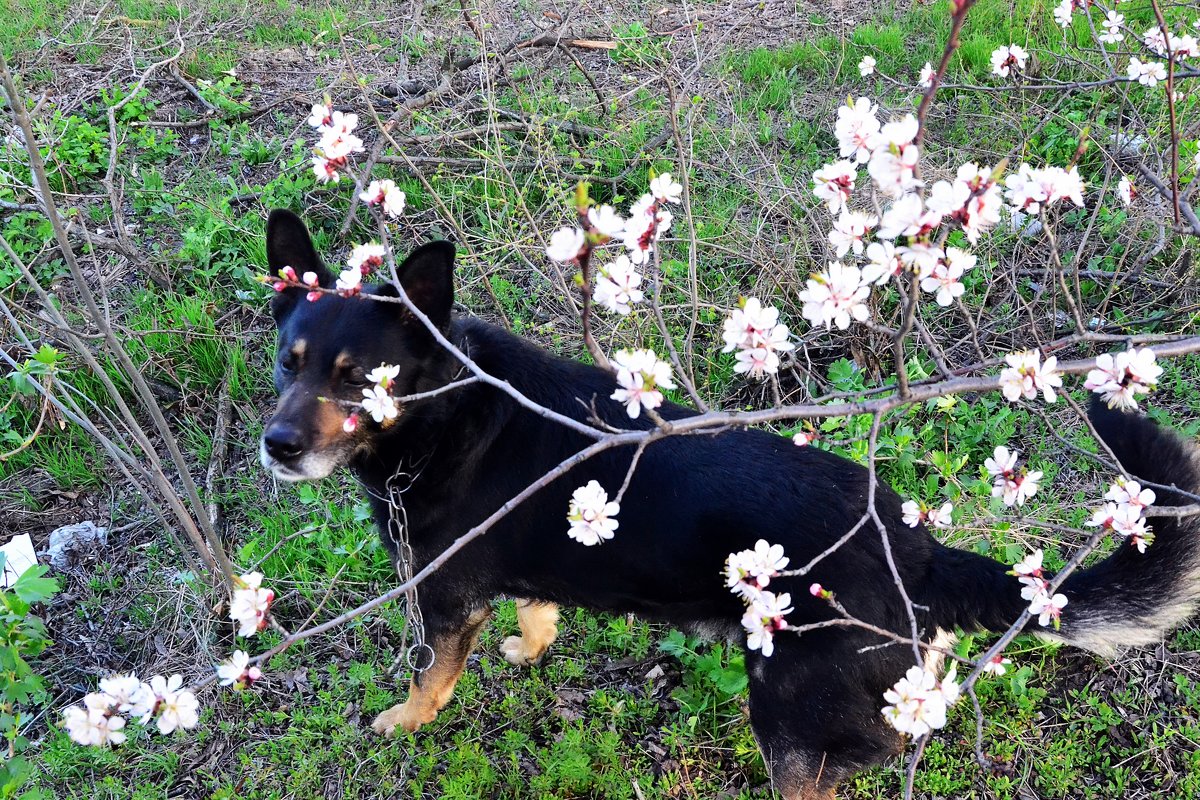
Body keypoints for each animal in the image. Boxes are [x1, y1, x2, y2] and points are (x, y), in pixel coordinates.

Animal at [260, 209, 1200, 796]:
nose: (277, 446)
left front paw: (403, 721)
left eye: (357, 377)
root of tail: (916, 549)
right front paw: (530, 648)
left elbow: (432, 678)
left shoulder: (442, 597)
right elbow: (536, 612)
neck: (446, 409)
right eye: (288, 361)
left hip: (787, 719)